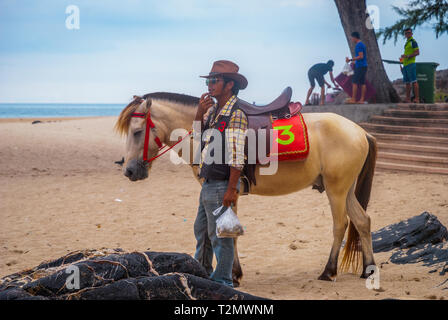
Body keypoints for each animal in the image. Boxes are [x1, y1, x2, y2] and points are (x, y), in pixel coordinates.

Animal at [115, 91, 378, 286]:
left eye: (137, 132)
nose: (128, 170)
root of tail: (360, 130)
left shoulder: (226, 193)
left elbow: (226, 236)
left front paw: (233, 275)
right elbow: (206, 230)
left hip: (337, 189)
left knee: (341, 225)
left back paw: (329, 270)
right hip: (346, 189)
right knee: (362, 221)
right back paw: (368, 269)